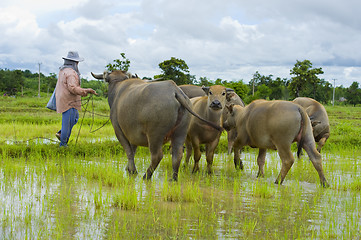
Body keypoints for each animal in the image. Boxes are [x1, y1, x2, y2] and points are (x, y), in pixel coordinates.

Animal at [91, 70, 221, 181]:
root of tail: (175, 91)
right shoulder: (132, 134)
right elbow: (133, 150)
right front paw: (128, 168)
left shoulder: (118, 130)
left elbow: (129, 151)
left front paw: (132, 171)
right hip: (181, 132)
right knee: (177, 155)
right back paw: (174, 178)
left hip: (155, 135)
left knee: (157, 156)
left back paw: (146, 176)